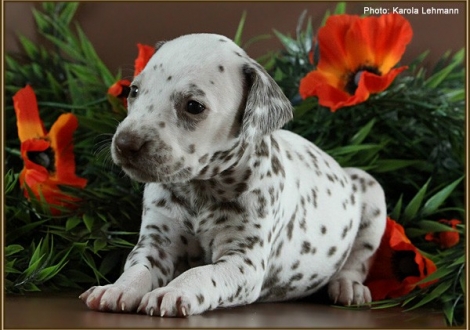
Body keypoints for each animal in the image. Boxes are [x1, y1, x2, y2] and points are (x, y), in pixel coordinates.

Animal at [80, 33, 386, 318]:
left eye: (193, 106)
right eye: (133, 90)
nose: (125, 144)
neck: (199, 191)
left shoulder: (243, 261)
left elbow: (201, 273)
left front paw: (173, 291)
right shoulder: (156, 244)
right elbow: (138, 268)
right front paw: (118, 288)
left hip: (371, 191)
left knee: (358, 261)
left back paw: (348, 286)